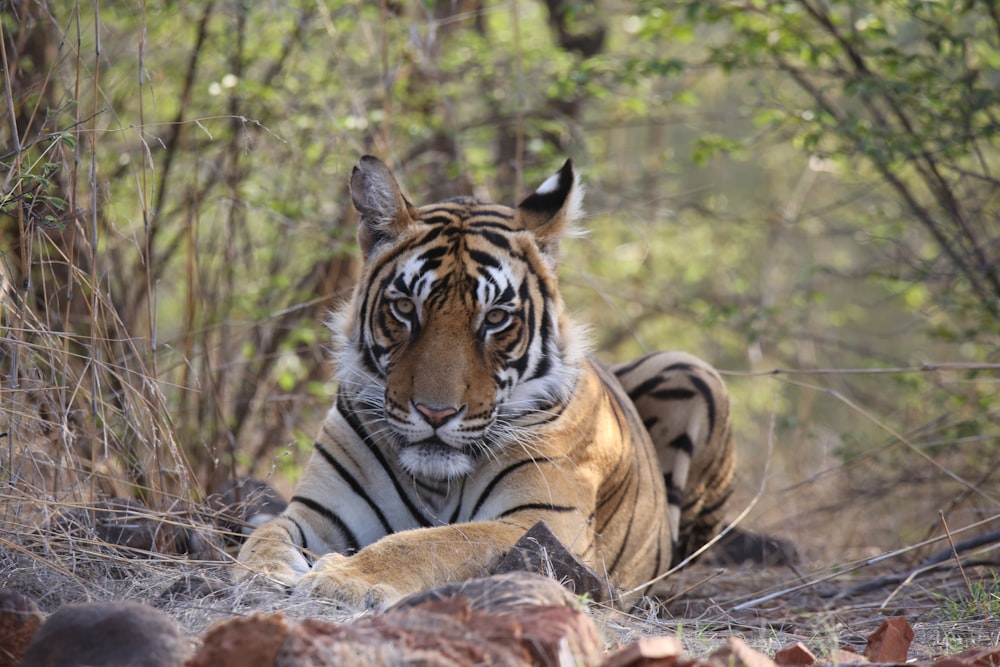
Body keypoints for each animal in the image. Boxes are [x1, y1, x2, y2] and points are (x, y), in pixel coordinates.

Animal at [234, 157, 736, 612]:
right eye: (405, 307)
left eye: (495, 318)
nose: (435, 413)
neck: (435, 481)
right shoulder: (317, 510)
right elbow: (267, 534)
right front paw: (263, 571)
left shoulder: (539, 522)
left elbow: (433, 541)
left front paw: (343, 580)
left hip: (691, 369)